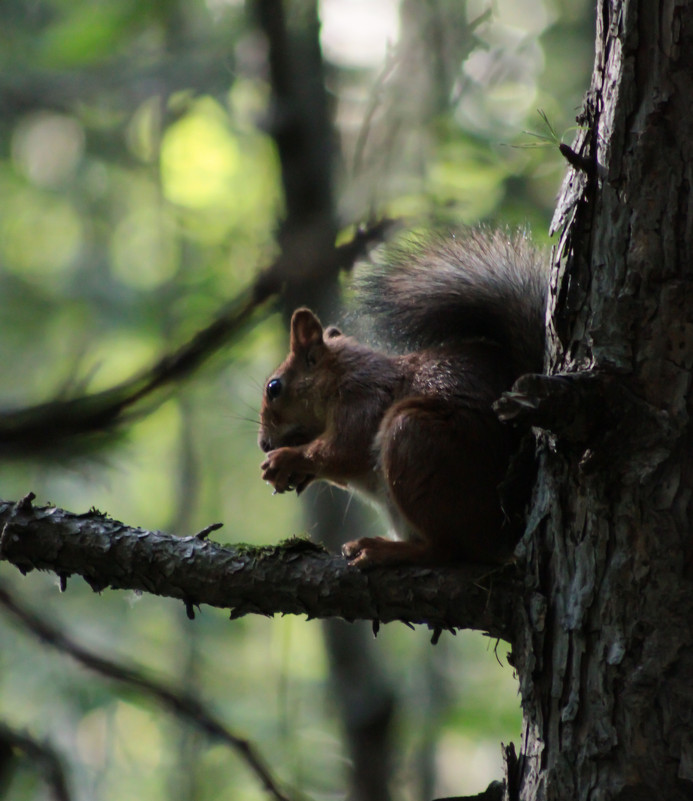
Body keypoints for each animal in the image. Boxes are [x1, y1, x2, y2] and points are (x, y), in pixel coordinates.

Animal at [258, 228, 548, 564]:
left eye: (274, 387)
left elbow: (344, 451)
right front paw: (297, 474)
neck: (342, 375)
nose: (263, 444)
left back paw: (383, 549)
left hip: (415, 442)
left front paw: (286, 458)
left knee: (448, 550)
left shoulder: (363, 400)